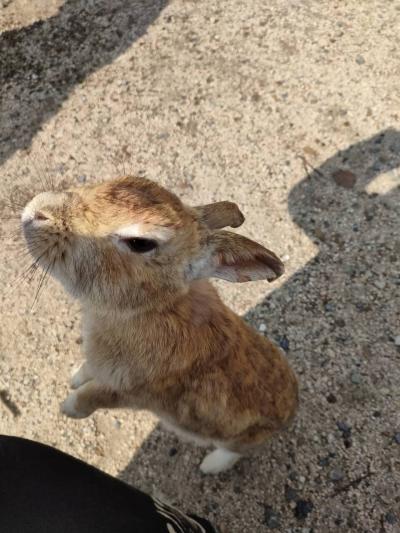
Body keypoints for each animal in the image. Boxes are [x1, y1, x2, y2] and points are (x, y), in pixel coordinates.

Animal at [21, 177, 296, 472]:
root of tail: (291, 410)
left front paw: (68, 408)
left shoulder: (130, 392)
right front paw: (74, 378)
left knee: (235, 451)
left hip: (238, 437)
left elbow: (90, 398)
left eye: (140, 243)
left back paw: (210, 466)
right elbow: (86, 372)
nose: (36, 212)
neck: (149, 308)